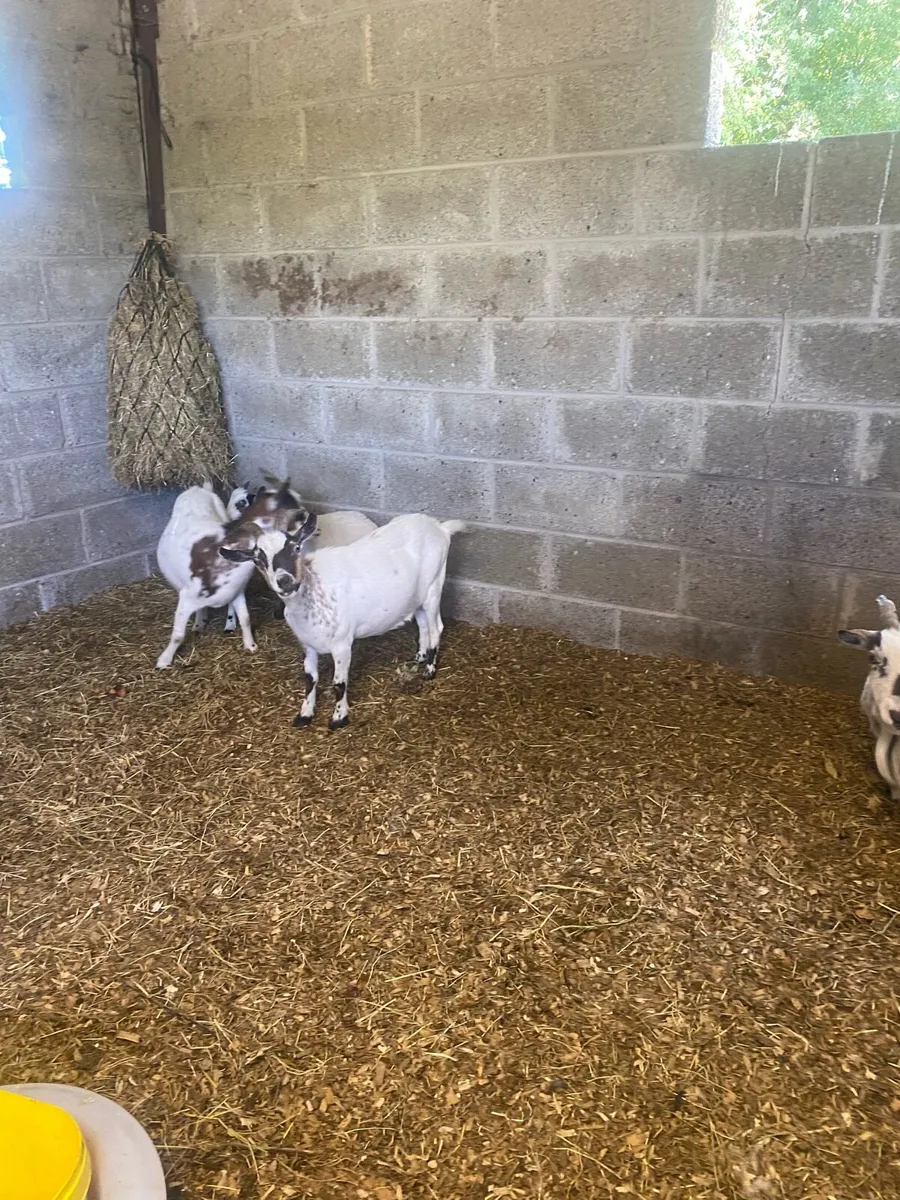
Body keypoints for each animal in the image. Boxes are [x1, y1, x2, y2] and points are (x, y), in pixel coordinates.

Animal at [155, 480, 306, 668]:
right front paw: (164, 660)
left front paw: (250, 645)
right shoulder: (187, 597)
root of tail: (197, 488)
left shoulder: (237, 590)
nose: (308, 515)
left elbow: (246, 618)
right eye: (295, 510)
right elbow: (177, 635)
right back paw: (198, 623)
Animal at [221, 512, 465, 729]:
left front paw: (339, 718)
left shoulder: (342, 644)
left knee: (436, 627)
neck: (314, 590)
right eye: (258, 559)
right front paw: (304, 714)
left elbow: (339, 684)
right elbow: (310, 678)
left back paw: (430, 670)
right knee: (423, 623)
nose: (285, 581)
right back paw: (420, 656)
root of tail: (440, 528)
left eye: (296, 547)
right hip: (416, 596)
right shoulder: (307, 644)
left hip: (434, 587)